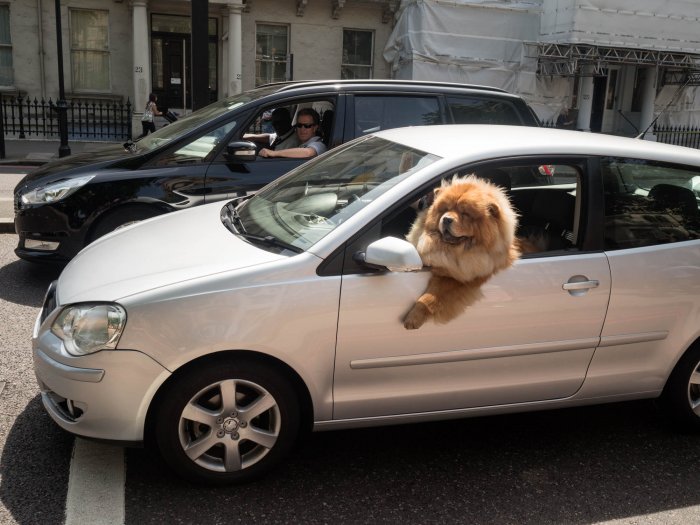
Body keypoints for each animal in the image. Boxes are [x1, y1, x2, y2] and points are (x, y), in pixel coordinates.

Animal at [402, 175, 524, 328]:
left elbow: (430, 296)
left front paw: (413, 318)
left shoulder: (461, 278)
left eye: (465, 214)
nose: (446, 219)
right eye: (445, 209)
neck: (452, 252)